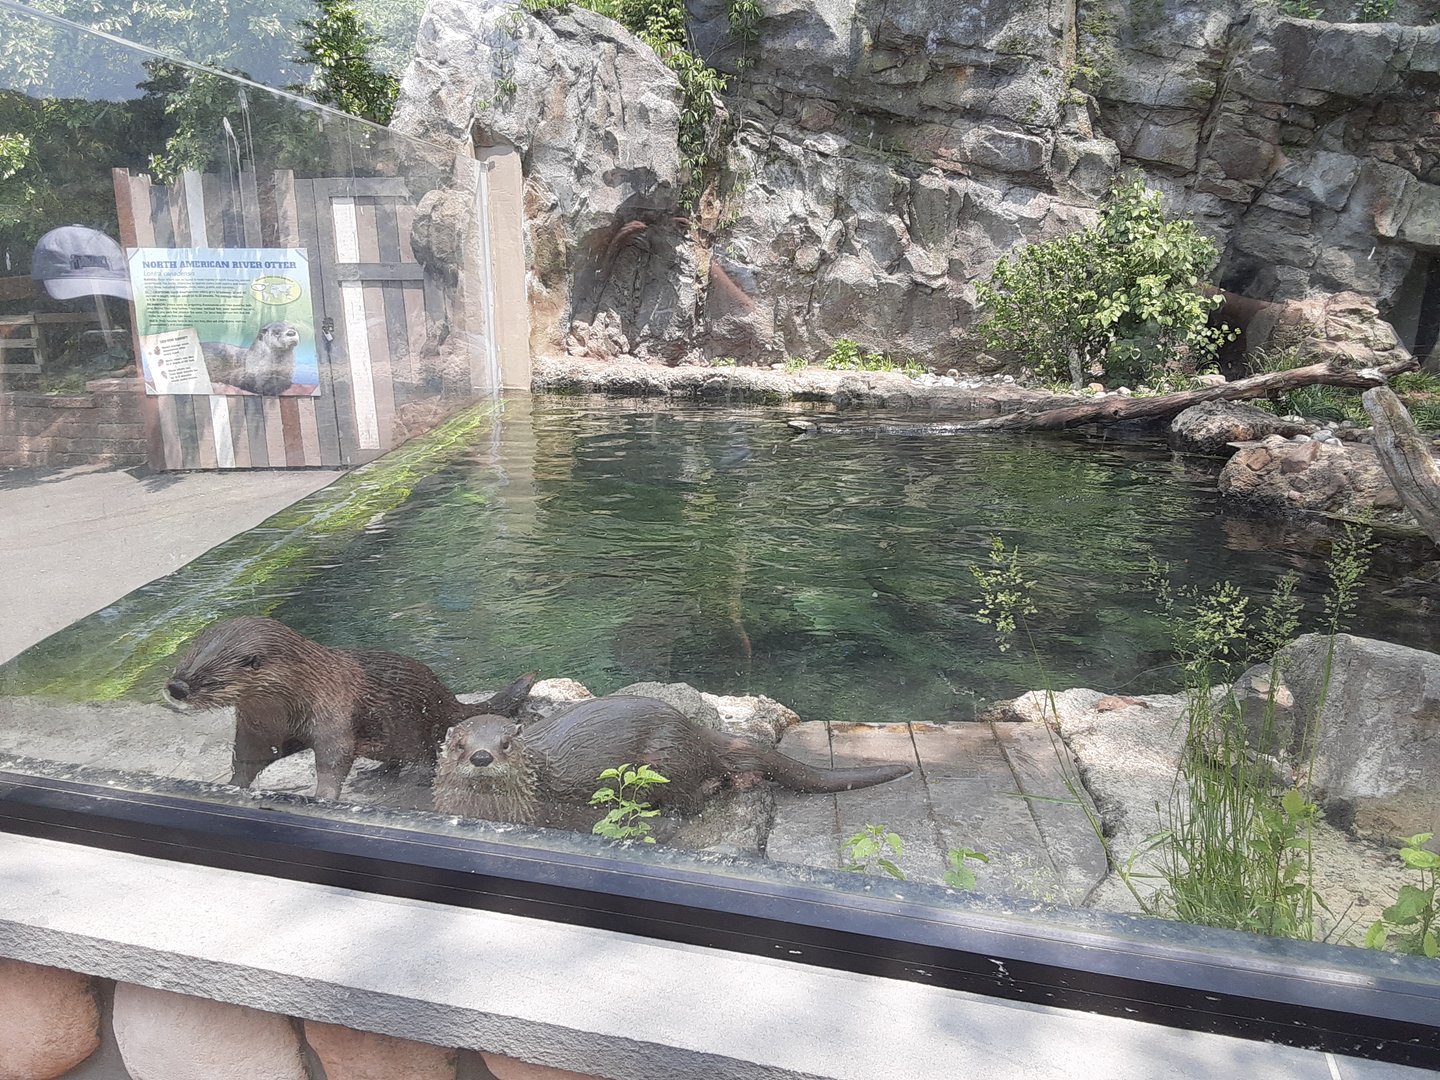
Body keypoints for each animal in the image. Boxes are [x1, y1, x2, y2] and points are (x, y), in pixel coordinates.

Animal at [165, 616, 536, 801]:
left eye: (208, 678)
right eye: (184, 660)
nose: (176, 687)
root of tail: (443, 695)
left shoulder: (333, 711)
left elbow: (334, 757)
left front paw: (323, 796)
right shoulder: (256, 730)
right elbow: (245, 760)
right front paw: (229, 786)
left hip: (414, 724)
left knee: (424, 755)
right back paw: (376, 775)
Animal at [433, 694, 911, 827]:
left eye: (506, 744)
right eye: (460, 745)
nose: (481, 756)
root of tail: (691, 728)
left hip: (665, 760)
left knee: (691, 797)